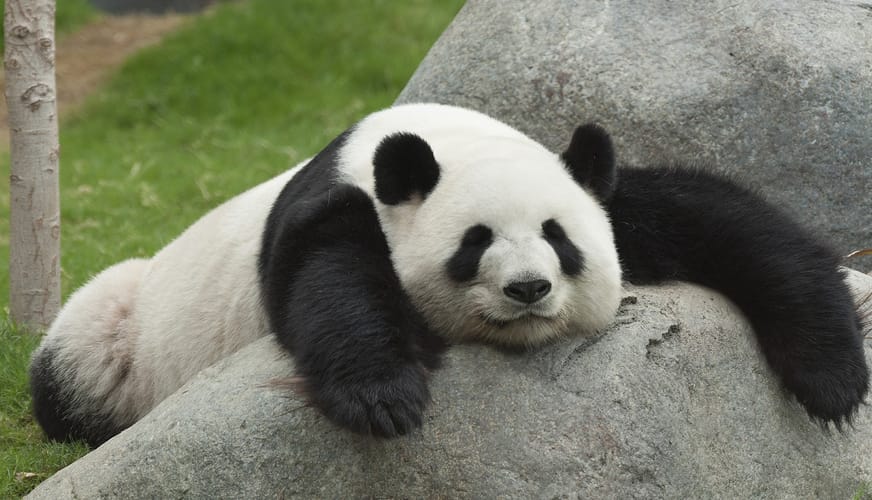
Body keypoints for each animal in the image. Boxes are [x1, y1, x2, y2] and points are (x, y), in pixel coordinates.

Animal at [29, 103, 868, 446]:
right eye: (475, 243)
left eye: (558, 239)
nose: (528, 289)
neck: (443, 139)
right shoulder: (338, 204)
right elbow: (327, 278)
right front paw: (385, 396)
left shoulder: (596, 187)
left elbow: (732, 225)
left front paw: (832, 379)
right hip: (120, 329)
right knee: (74, 366)